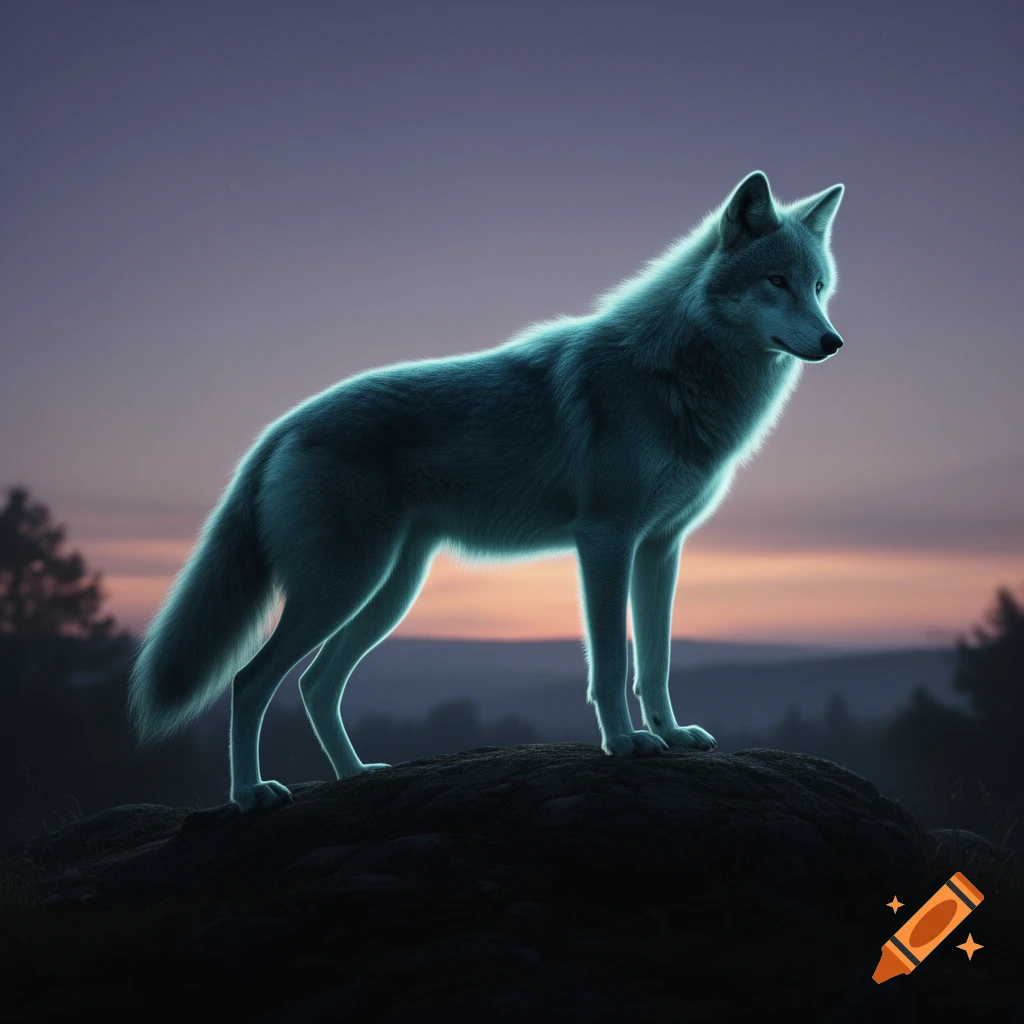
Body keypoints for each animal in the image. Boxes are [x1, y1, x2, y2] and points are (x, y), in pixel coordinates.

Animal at [128, 170, 845, 811]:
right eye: (776, 282)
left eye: (818, 287)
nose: (833, 341)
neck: (671, 371)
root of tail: (279, 428)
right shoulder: (606, 540)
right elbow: (612, 663)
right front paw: (624, 744)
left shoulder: (660, 548)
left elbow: (656, 660)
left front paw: (670, 734)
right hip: (343, 587)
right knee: (251, 682)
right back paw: (251, 795)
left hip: (387, 591)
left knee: (315, 683)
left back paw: (355, 776)